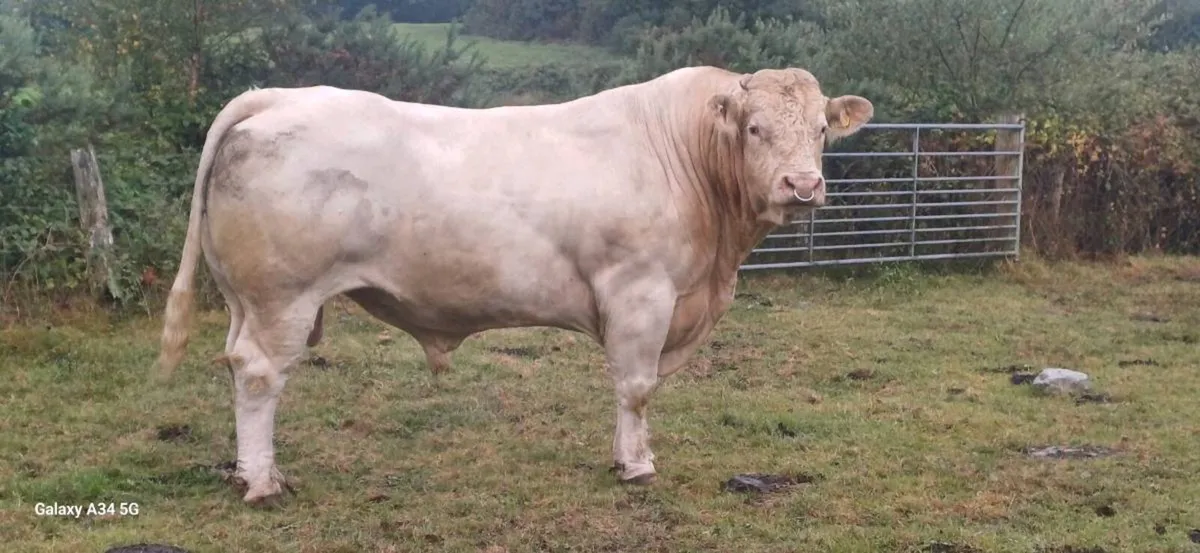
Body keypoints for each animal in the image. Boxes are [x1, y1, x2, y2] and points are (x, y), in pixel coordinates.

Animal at [155, 65, 873, 504]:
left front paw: (625, 457)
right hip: (282, 297)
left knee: (237, 364)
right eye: (755, 128)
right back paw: (264, 480)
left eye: (820, 131)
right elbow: (636, 387)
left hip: (248, 300)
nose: (802, 185)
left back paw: (250, 470)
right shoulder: (640, 292)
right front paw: (637, 465)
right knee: (259, 377)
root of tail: (279, 96)